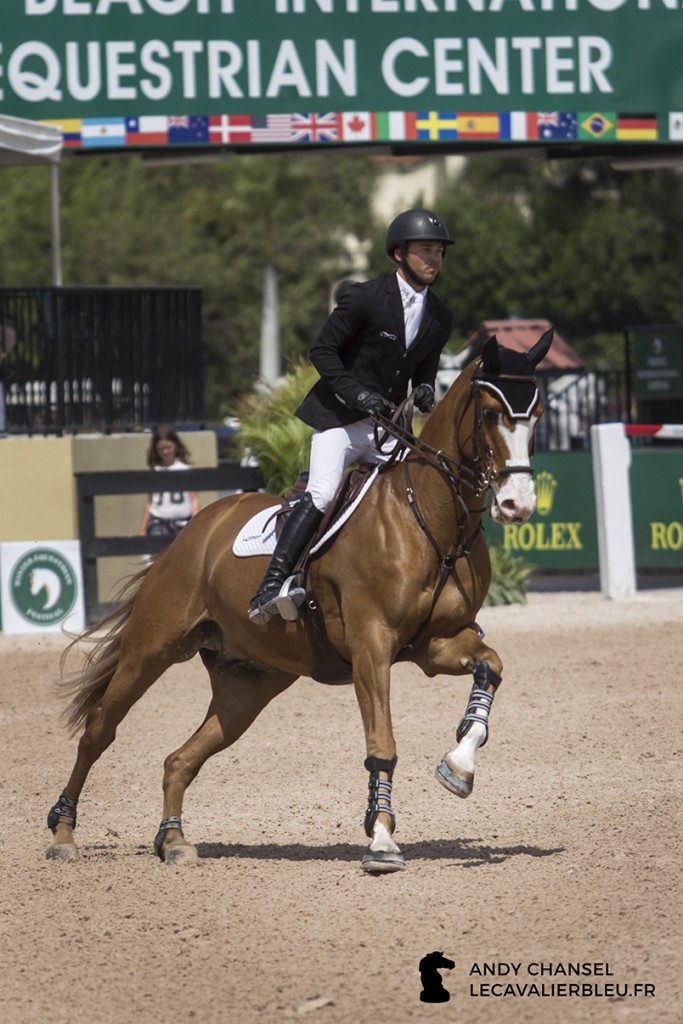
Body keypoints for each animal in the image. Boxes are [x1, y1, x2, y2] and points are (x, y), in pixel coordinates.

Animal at [46, 331, 548, 876]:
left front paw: (459, 766)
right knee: (99, 730)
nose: (518, 504)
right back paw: (63, 833)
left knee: (180, 759)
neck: (430, 518)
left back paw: (174, 840)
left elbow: (490, 667)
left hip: (248, 686)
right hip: (151, 650)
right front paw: (381, 839)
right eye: (491, 412)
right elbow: (382, 742)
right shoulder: (372, 647)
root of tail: (195, 532)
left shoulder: (435, 645)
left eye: (537, 414)